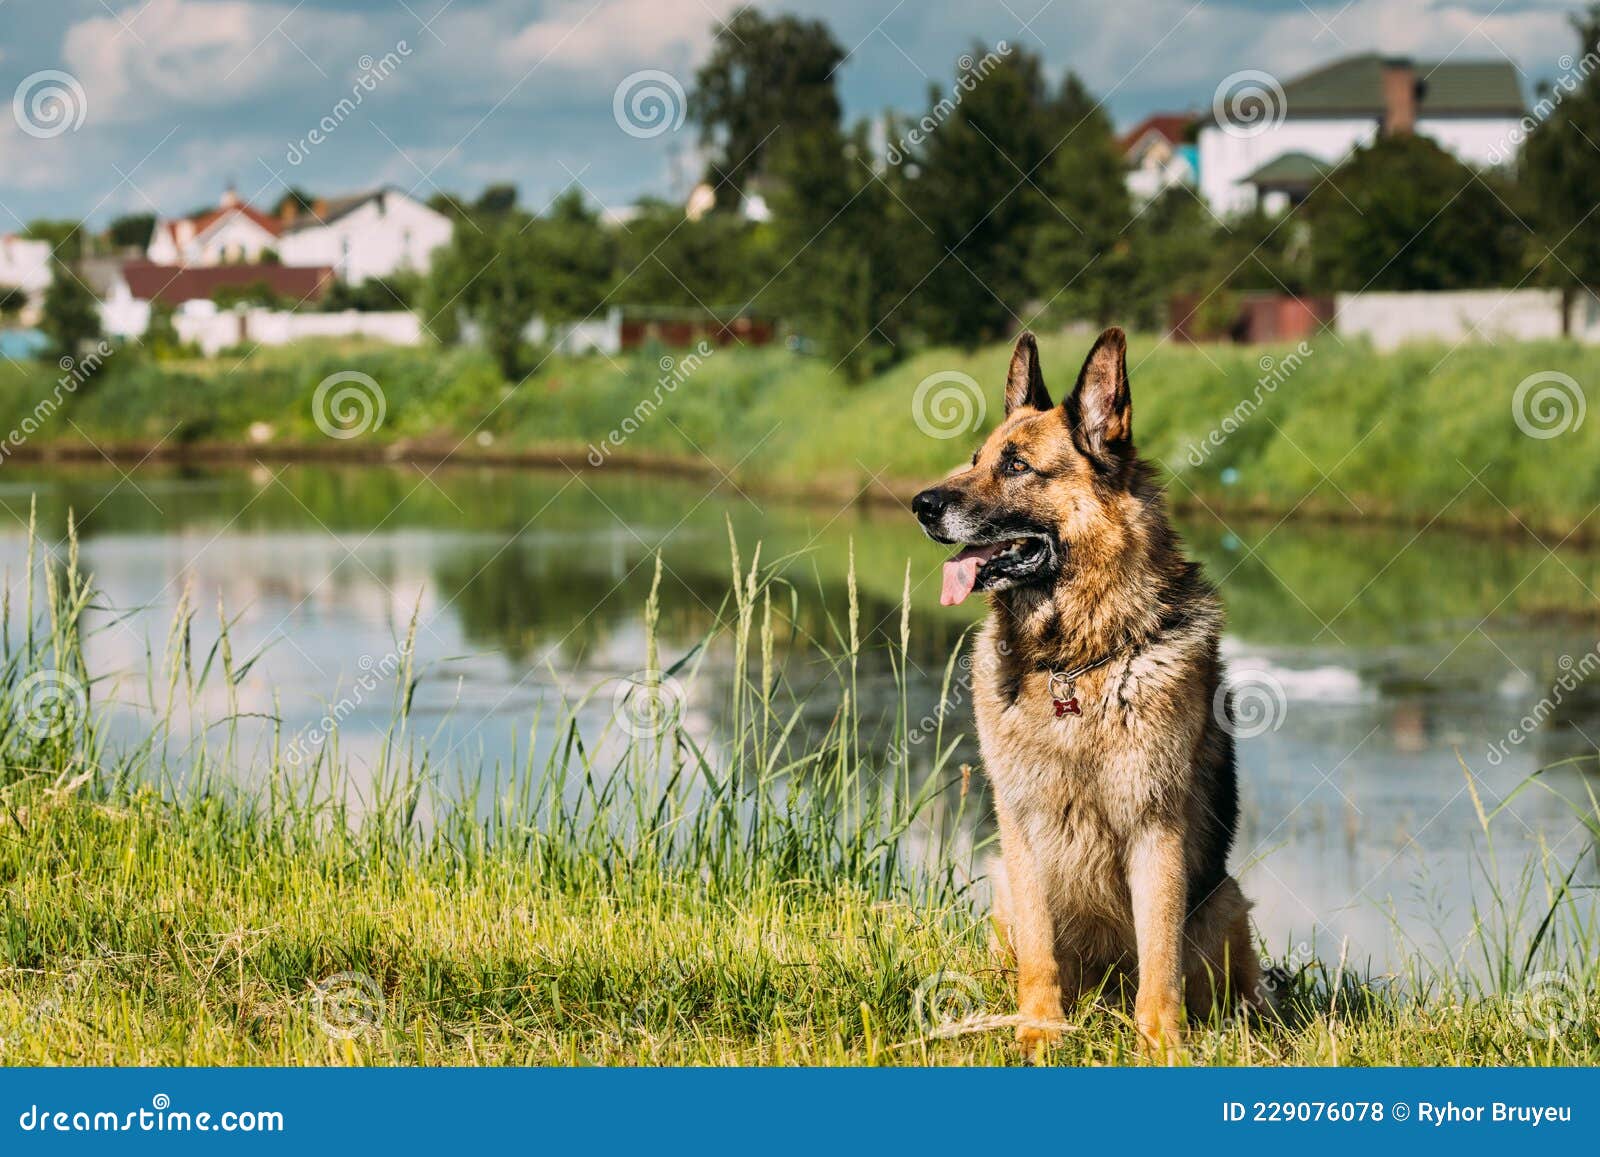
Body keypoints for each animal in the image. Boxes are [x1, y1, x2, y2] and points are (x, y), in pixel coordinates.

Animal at [915, 326, 1260, 1056]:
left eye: (1017, 466)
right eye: (974, 460)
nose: (921, 505)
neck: (1074, 662)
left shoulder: (1156, 831)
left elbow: (1159, 964)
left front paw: (1161, 1048)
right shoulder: (1022, 832)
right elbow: (1042, 956)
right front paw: (1039, 1035)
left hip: (1225, 900)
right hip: (1002, 887)